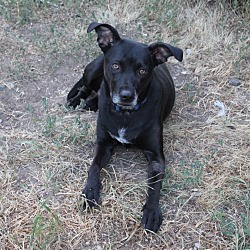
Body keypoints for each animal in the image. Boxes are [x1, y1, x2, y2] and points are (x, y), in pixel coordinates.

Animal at [67, 22, 183, 231]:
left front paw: (151, 211)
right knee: (85, 88)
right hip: (93, 70)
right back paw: (77, 101)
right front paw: (90, 192)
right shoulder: (103, 144)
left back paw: (91, 103)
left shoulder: (156, 156)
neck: (125, 113)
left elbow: (154, 185)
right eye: (116, 66)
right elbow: (93, 167)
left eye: (143, 71)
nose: (126, 96)